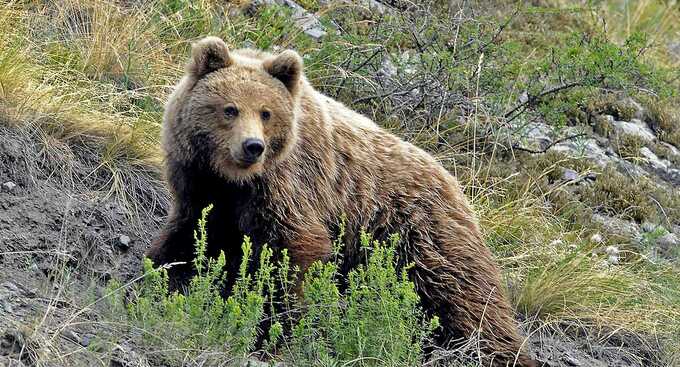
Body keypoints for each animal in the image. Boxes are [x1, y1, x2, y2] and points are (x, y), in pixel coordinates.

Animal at [147, 35, 536, 367]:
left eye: (266, 112)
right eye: (230, 109)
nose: (252, 146)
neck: (233, 180)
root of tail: (460, 188)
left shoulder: (291, 187)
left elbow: (294, 252)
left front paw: (271, 332)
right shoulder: (201, 187)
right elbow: (189, 237)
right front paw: (157, 282)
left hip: (425, 238)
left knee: (468, 304)